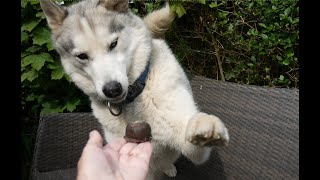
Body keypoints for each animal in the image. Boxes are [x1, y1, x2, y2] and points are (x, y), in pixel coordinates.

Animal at [40, 0, 230, 179]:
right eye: (82, 56)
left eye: (113, 43)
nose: (112, 89)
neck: (137, 95)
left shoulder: (189, 145)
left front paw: (204, 125)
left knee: (167, 160)